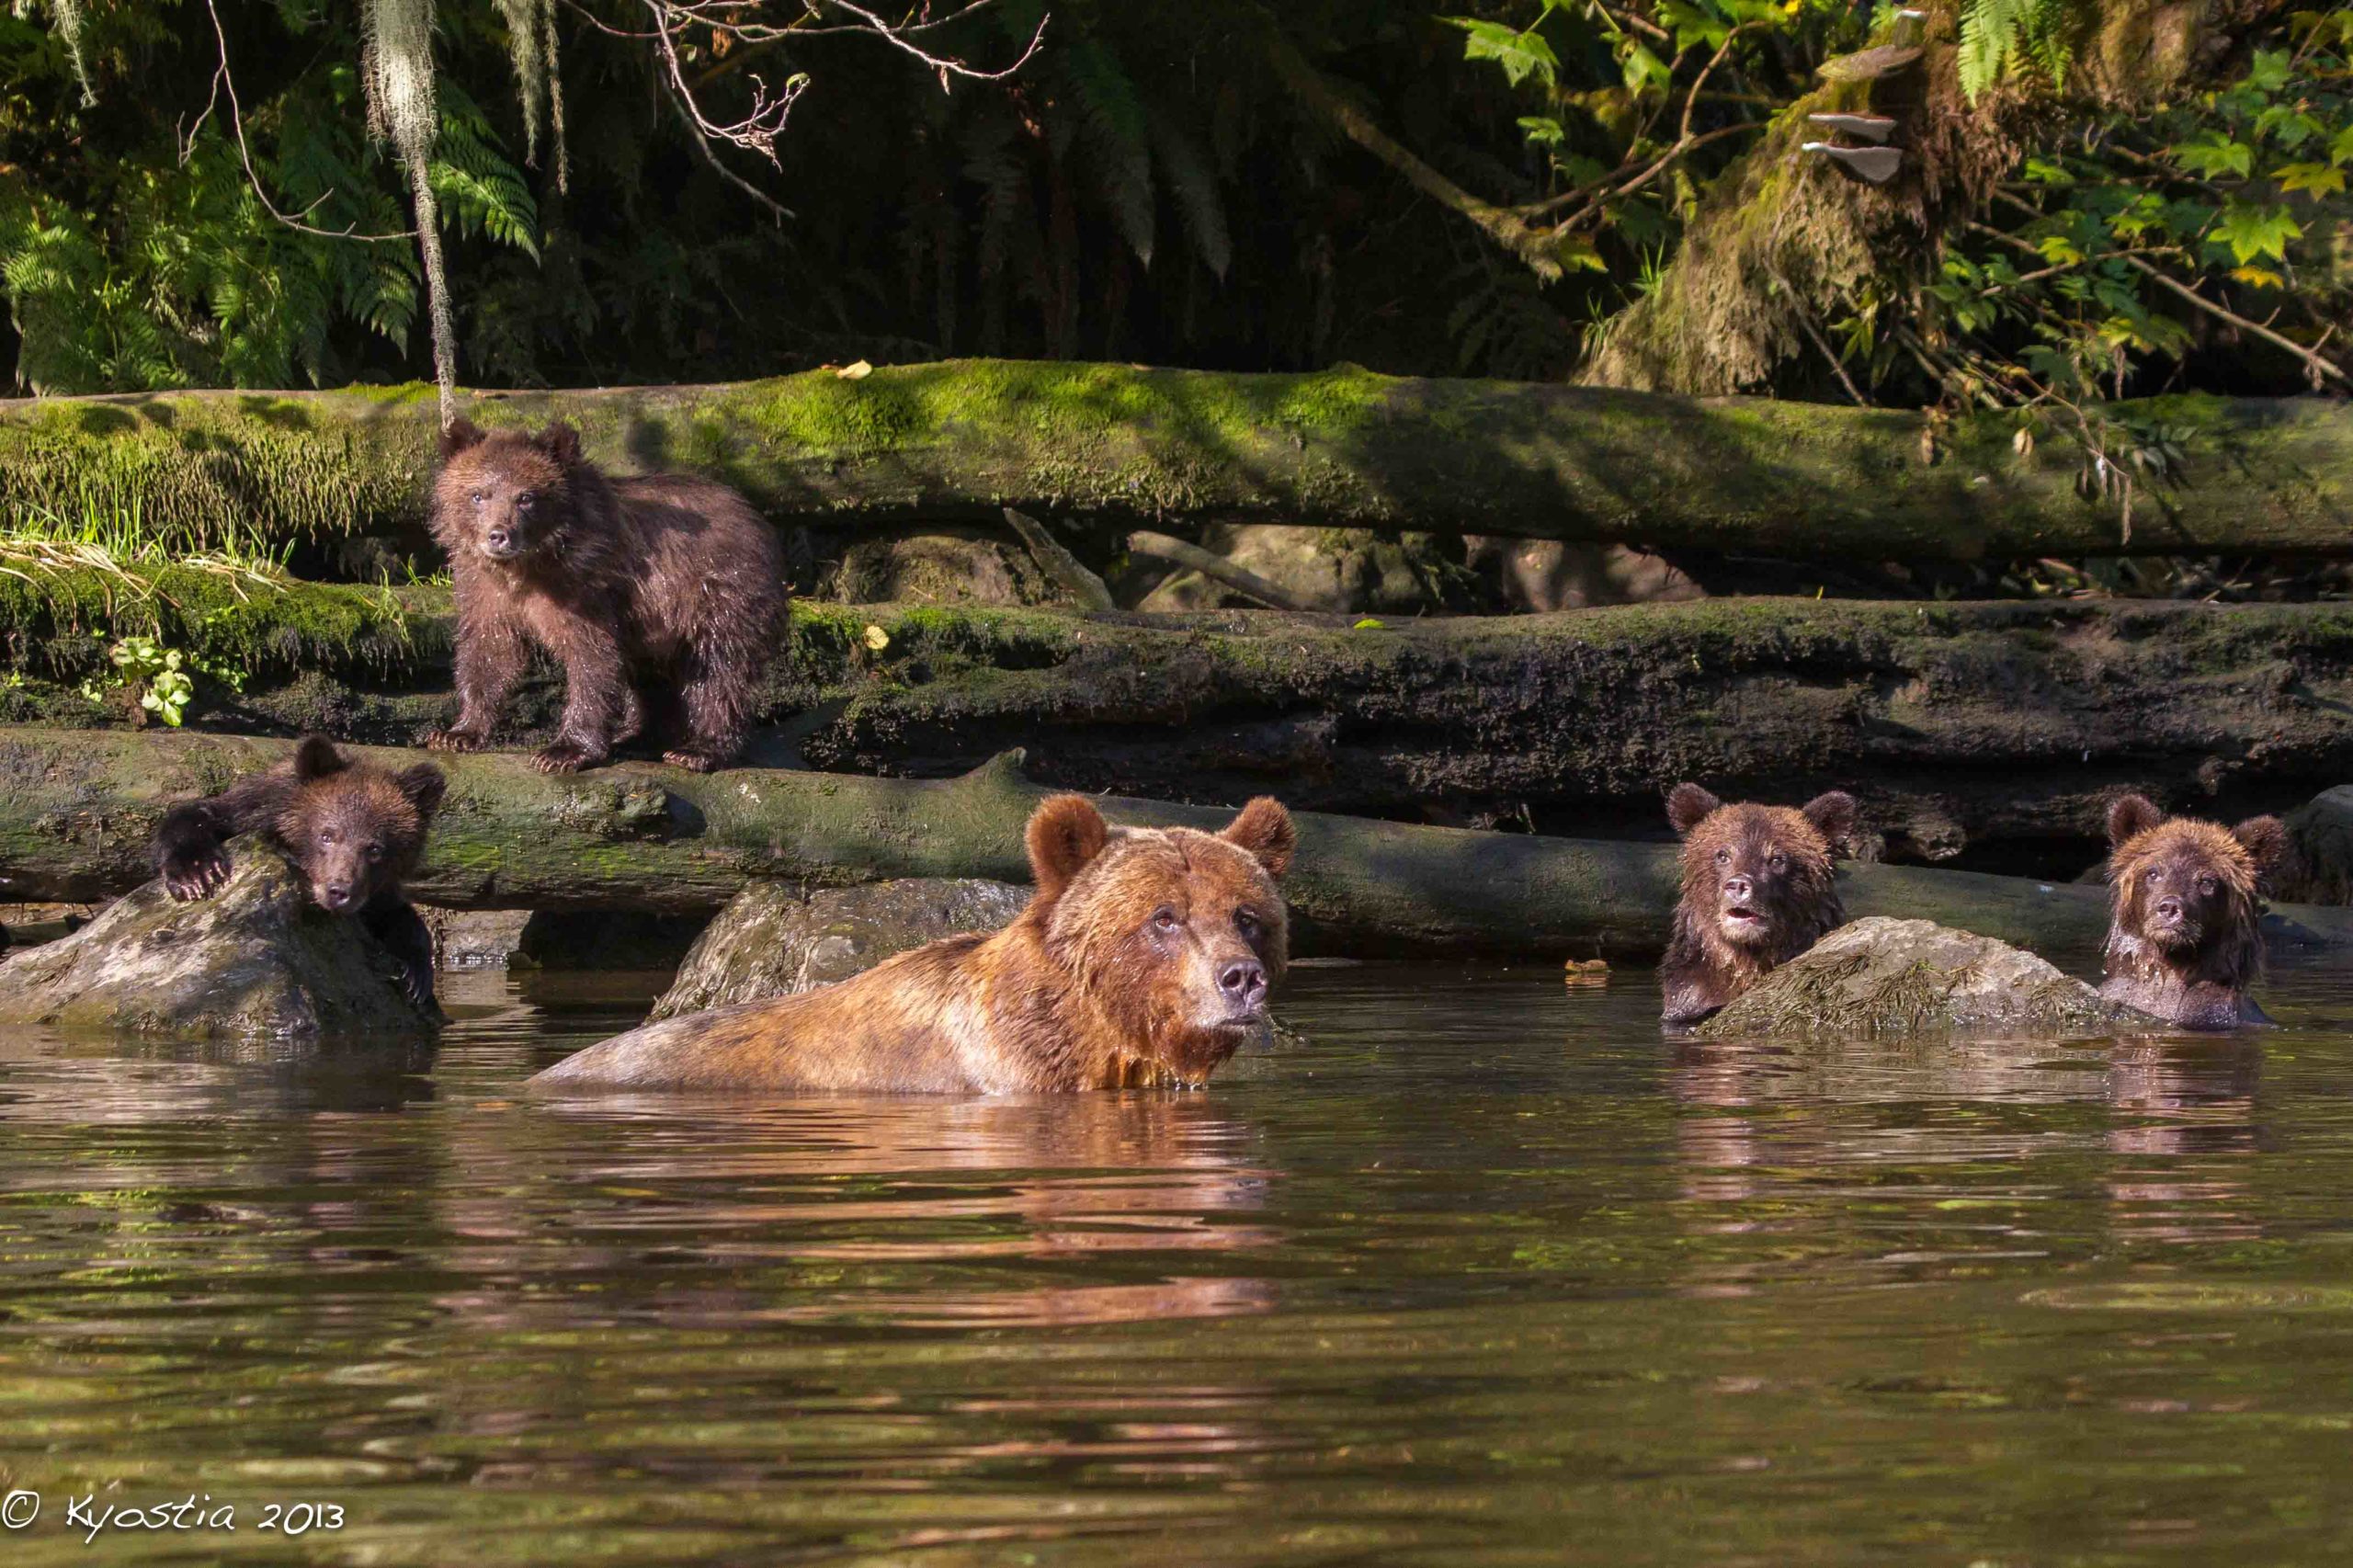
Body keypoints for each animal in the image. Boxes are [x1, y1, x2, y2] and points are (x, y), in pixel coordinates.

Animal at [152, 734, 449, 1003]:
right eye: (327, 835)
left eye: (375, 849)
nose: (339, 891)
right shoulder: (244, 811)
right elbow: (198, 816)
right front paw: (197, 874)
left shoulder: (377, 896)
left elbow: (397, 915)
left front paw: (415, 974)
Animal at [427, 418, 786, 772]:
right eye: (478, 495)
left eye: (526, 497)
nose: (498, 535)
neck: (527, 567)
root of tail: (756, 517)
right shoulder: (485, 589)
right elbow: (488, 652)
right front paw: (457, 732)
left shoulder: (584, 587)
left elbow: (591, 658)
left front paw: (563, 751)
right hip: (655, 622)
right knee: (649, 676)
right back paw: (636, 737)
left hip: (717, 592)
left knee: (718, 667)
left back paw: (698, 749)